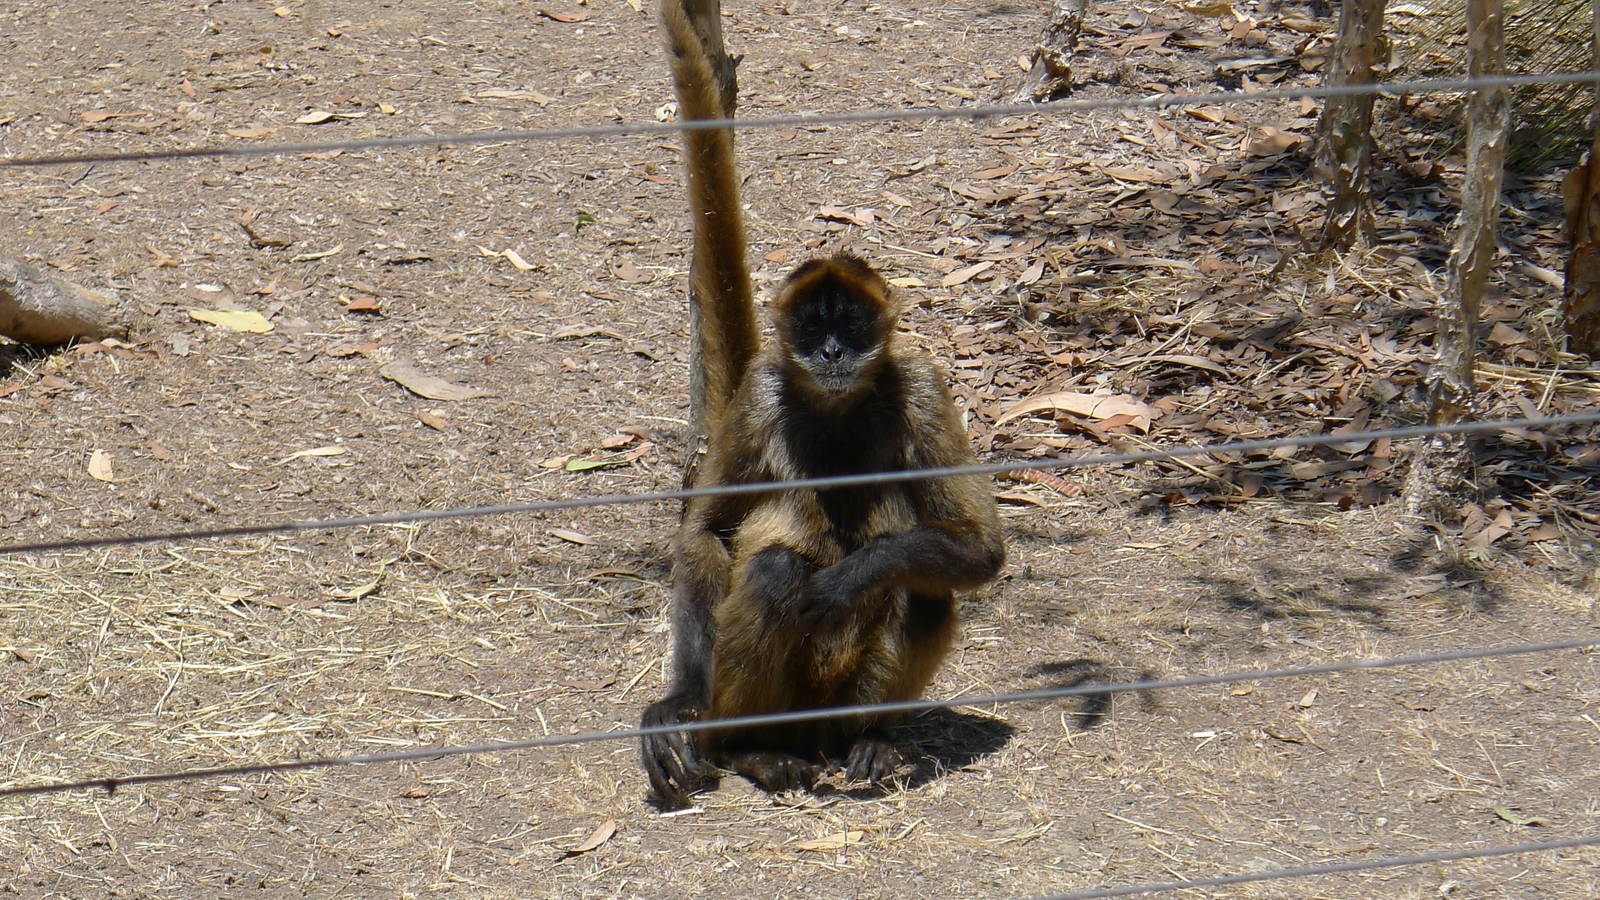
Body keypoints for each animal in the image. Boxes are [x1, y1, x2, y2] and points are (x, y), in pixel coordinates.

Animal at [641, 0, 1005, 809]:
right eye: (814, 328)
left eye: (853, 326)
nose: (834, 353)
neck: (837, 412)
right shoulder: (760, 398)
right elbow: (707, 535)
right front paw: (678, 700)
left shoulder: (922, 385)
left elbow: (977, 550)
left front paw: (840, 583)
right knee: (772, 571)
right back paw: (753, 750)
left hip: (833, 705)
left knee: (921, 581)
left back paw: (867, 741)